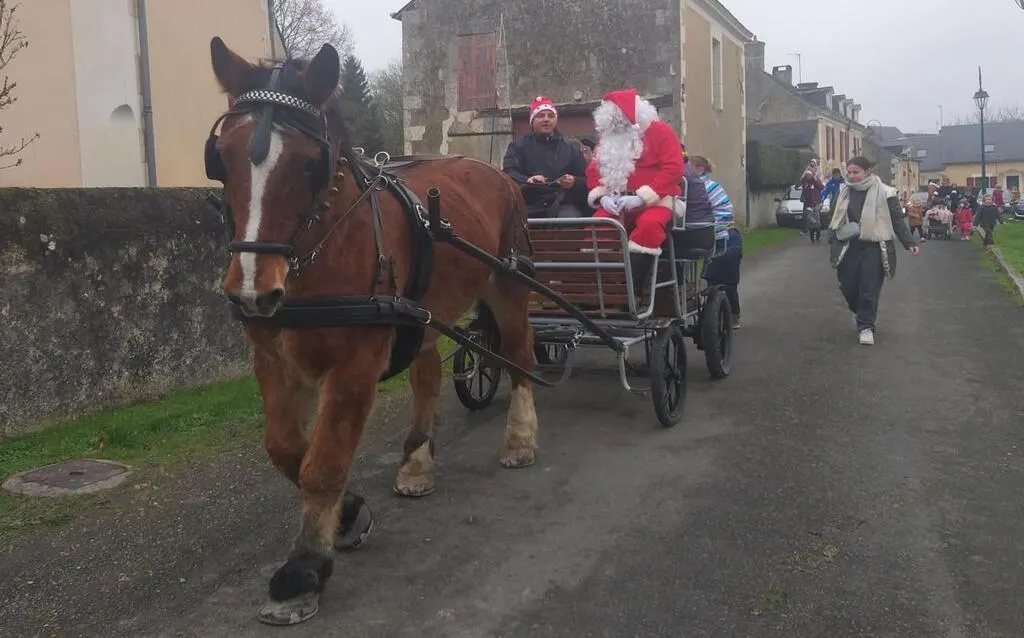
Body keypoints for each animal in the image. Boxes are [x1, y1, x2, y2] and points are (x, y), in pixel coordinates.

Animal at [206, 37, 540, 624]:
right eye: (221, 158)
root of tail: (494, 170)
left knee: (521, 355)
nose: (250, 290)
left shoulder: (355, 365)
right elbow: (286, 450)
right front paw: (348, 515)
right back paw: (417, 460)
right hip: (421, 313)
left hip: (507, 283)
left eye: (310, 164)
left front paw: (303, 570)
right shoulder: (273, 359)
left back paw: (520, 437)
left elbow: (323, 462)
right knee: (428, 376)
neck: (321, 253)